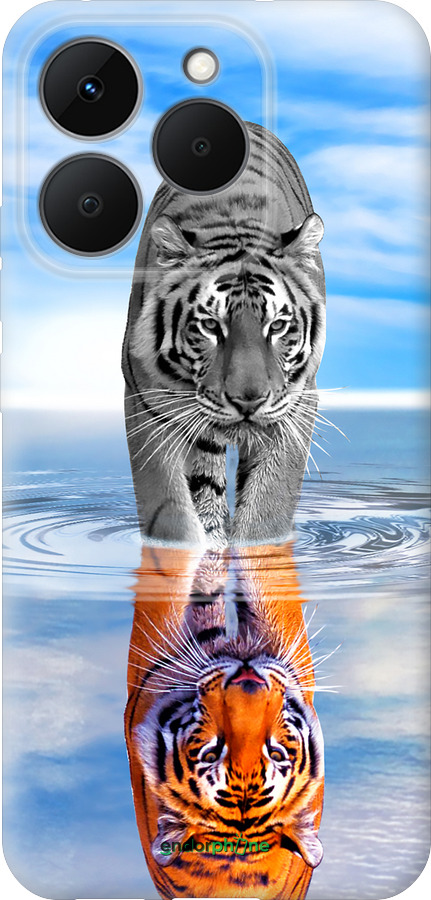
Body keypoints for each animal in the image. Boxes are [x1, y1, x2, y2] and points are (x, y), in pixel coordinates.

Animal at [122, 121, 325, 548]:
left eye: (277, 326)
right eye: (210, 326)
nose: (248, 401)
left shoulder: (297, 404)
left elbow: (268, 509)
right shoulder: (146, 401)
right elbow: (170, 511)